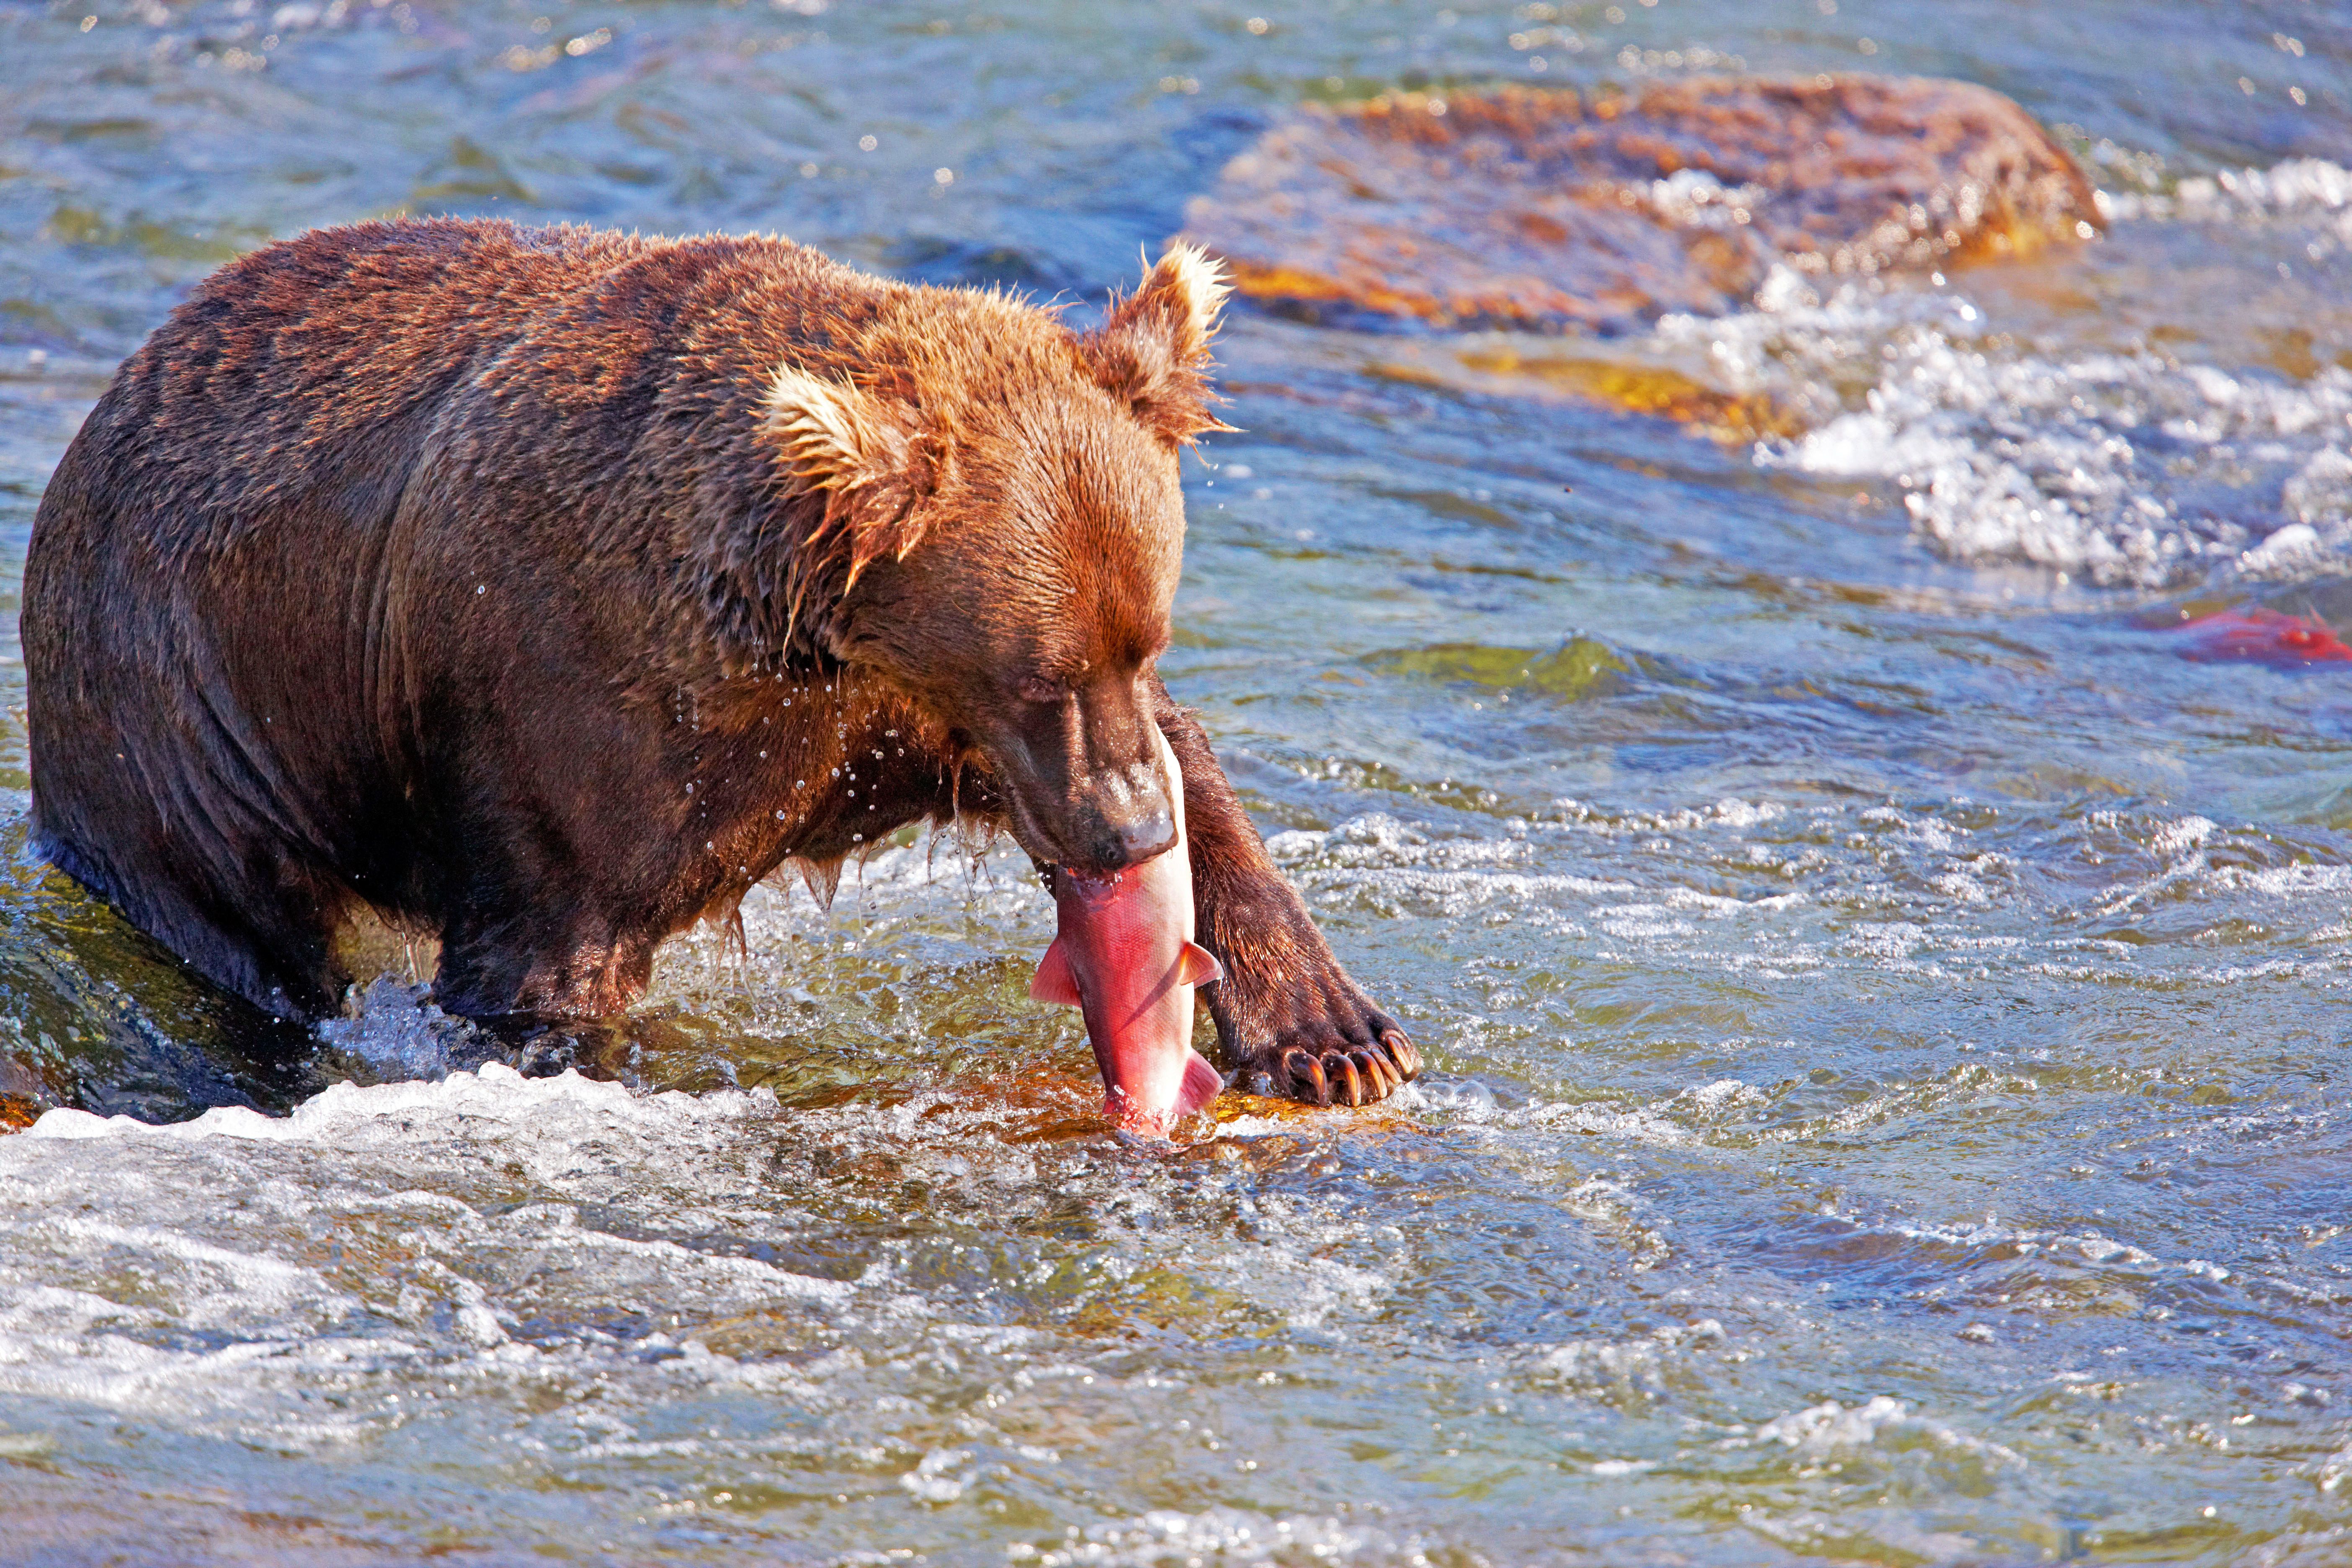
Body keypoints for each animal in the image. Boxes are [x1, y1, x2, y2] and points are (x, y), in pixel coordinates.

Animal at [23, 217, 1411, 1105]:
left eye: (1145, 636)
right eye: (1038, 672)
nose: (1126, 835)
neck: (805, 625)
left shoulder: (881, 720)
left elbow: (1190, 763)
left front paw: (1337, 1037)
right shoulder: (574, 712)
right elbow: (548, 963)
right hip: (179, 718)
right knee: (252, 939)